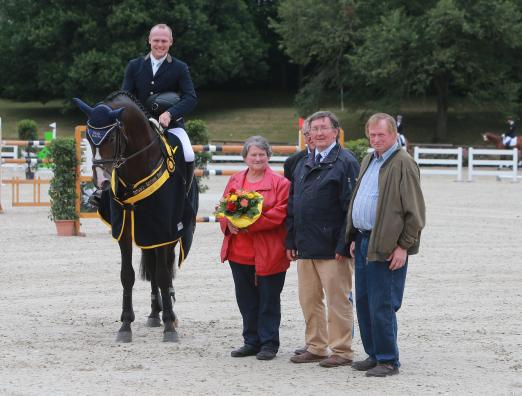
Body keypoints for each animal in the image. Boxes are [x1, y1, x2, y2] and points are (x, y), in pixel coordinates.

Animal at [72, 91, 196, 342]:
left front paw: (170, 327)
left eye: (111, 138)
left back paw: (169, 314)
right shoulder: (126, 228)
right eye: (89, 137)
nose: (101, 181)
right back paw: (155, 313)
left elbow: (163, 274)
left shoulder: (164, 228)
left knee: (165, 267)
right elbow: (127, 275)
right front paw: (125, 325)